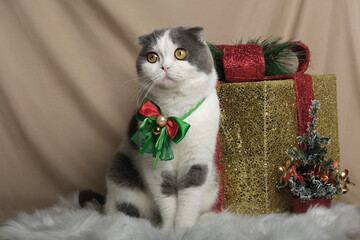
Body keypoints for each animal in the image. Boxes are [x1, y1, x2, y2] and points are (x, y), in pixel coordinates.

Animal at [80, 26, 221, 231]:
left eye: (180, 53)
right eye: (152, 57)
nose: (165, 67)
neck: (175, 112)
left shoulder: (198, 158)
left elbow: (189, 199)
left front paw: (184, 229)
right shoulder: (155, 166)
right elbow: (167, 199)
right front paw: (168, 229)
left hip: (214, 183)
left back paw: (206, 218)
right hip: (122, 175)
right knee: (124, 211)